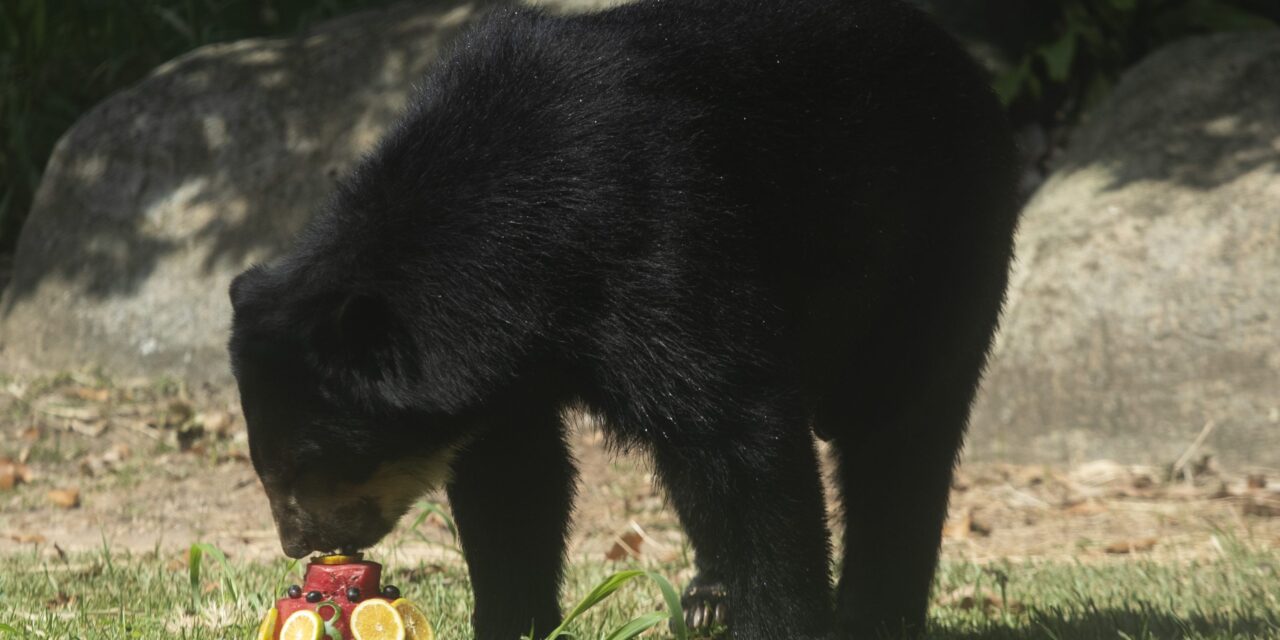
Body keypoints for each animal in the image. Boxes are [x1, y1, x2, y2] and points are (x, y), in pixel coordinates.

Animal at [227, 0, 1018, 637]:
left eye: (311, 463)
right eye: (267, 465)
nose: (303, 542)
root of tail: (965, 64)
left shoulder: (665, 234)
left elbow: (741, 431)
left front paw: (782, 620)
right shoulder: (503, 361)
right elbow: (514, 476)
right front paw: (515, 620)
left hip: (937, 241)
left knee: (899, 430)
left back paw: (873, 611)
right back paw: (708, 598)